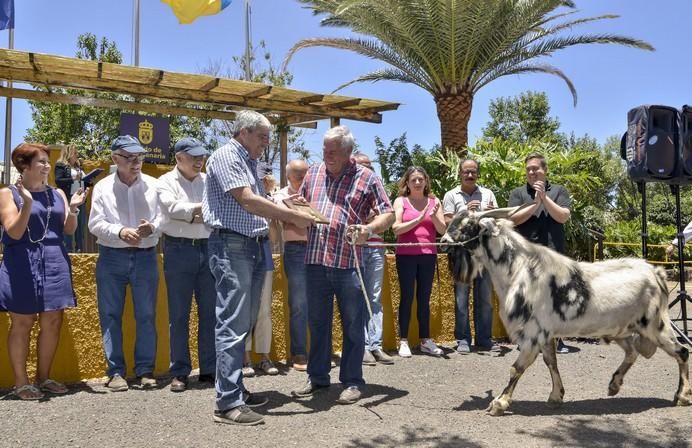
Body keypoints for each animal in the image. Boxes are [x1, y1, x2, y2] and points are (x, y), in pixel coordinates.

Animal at [444, 206, 692, 416]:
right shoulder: (546, 334)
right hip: (621, 330)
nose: (444, 242)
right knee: (632, 352)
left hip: (655, 325)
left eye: (468, 225)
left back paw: (682, 396)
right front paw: (556, 396)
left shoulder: (533, 333)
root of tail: (657, 273)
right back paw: (614, 385)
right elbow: (551, 362)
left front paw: (499, 403)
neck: (520, 269)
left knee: (681, 352)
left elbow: (517, 368)